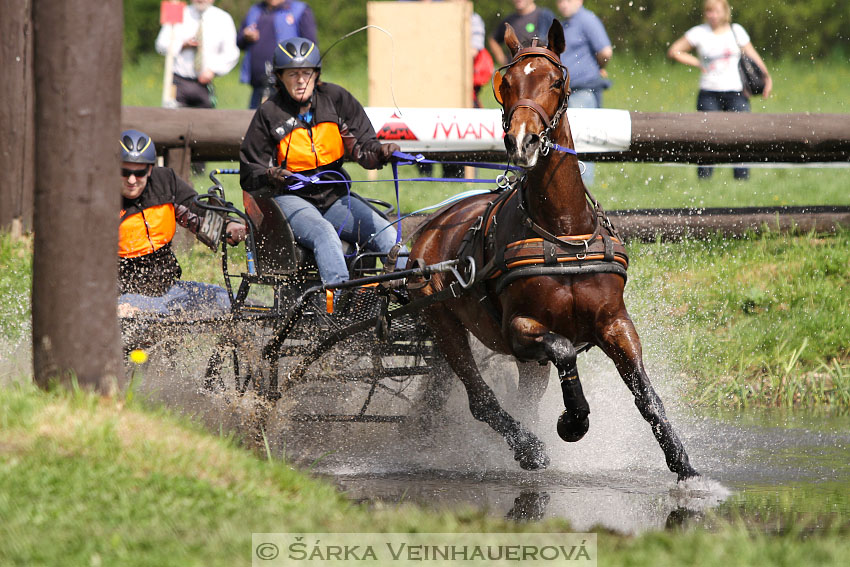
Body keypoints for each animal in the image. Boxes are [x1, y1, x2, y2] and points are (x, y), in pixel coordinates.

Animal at [410, 23, 696, 484]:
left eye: (557, 81)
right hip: (443, 323)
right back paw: (528, 448)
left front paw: (682, 462)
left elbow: (646, 394)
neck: (563, 235)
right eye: (506, 83)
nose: (522, 141)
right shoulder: (519, 330)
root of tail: (430, 226)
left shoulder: (615, 322)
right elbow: (563, 349)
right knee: (482, 398)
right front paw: (572, 421)